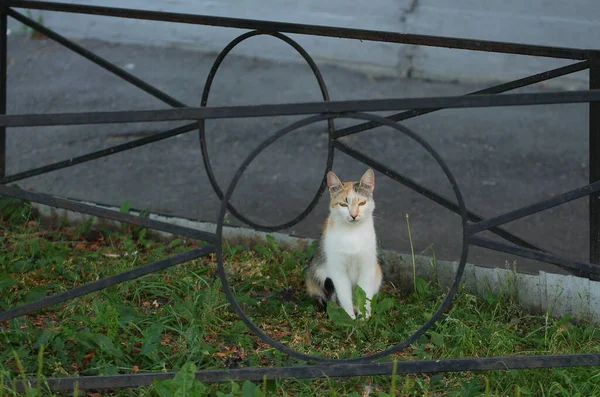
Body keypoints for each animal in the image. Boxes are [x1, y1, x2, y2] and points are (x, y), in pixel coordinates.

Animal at [308, 168, 382, 318]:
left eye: (361, 203)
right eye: (343, 204)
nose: (353, 215)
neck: (352, 234)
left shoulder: (367, 268)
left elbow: (364, 296)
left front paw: (364, 319)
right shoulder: (338, 272)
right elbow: (345, 297)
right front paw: (350, 318)